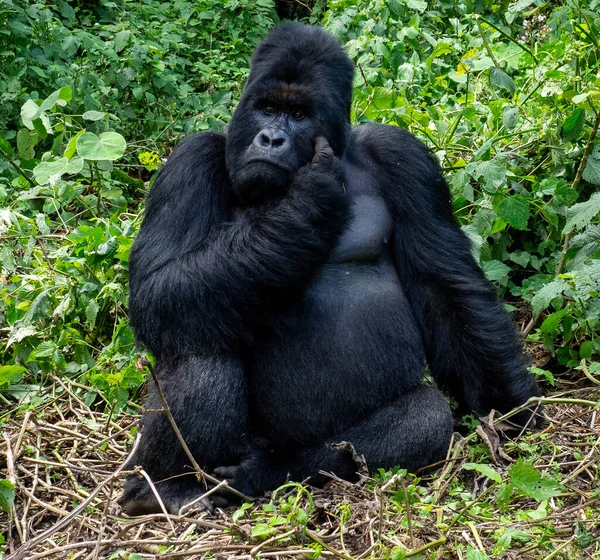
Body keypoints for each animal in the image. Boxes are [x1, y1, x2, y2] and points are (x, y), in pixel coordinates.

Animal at [119, 24, 540, 516]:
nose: (270, 139)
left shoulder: (402, 154)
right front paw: (305, 206)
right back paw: (167, 487)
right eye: (267, 108)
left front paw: (508, 405)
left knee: (424, 418)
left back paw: (273, 470)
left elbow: (445, 285)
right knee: (199, 342)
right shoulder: (189, 160)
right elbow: (157, 288)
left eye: (299, 115)